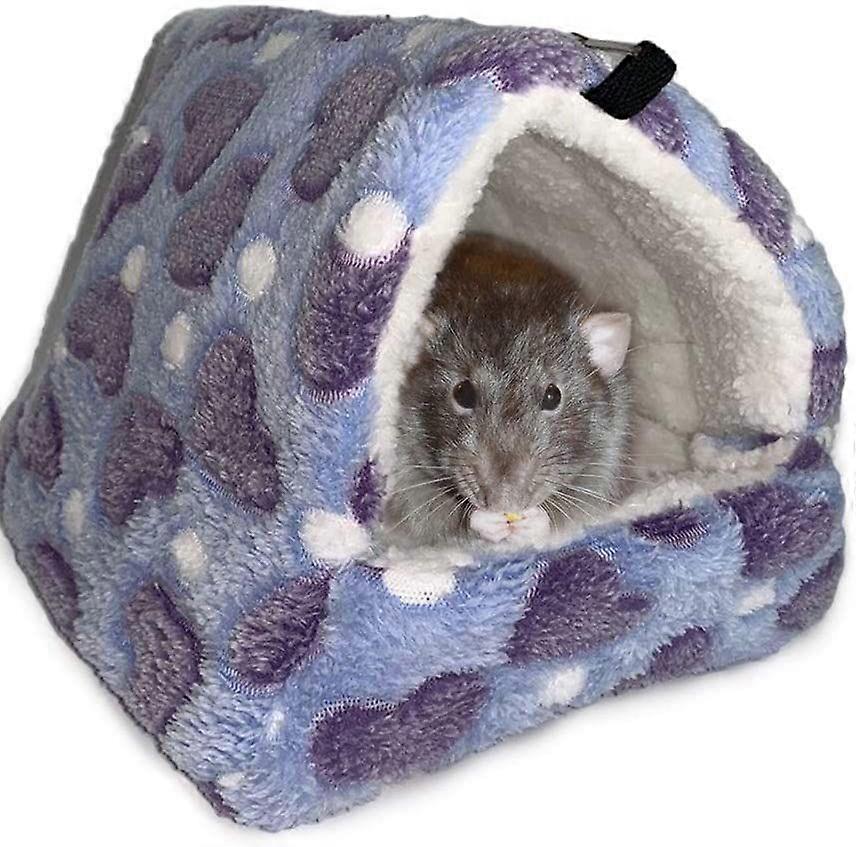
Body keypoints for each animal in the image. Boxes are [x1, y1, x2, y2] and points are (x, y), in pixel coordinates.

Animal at [383, 233, 632, 548]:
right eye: (463, 393)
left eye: (553, 396)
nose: (505, 503)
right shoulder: (406, 468)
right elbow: (428, 520)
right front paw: (482, 521)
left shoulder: (606, 455)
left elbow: (580, 511)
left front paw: (538, 521)